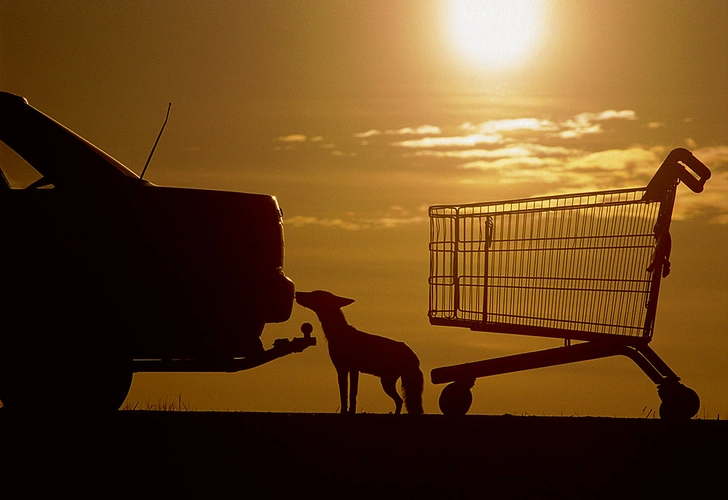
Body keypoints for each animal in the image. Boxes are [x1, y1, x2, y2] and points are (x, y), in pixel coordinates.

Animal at [294, 290, 424, 414]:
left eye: (314, 293)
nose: (297, 293)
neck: (338, 334)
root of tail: (413, 355)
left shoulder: (350, 369)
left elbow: (350, 394)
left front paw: (348, 411)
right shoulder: (344, 369)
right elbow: (346, 394)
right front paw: (347, 411)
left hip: (386, 382)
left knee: (400, 400)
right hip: (388, 382)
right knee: (400, 401)